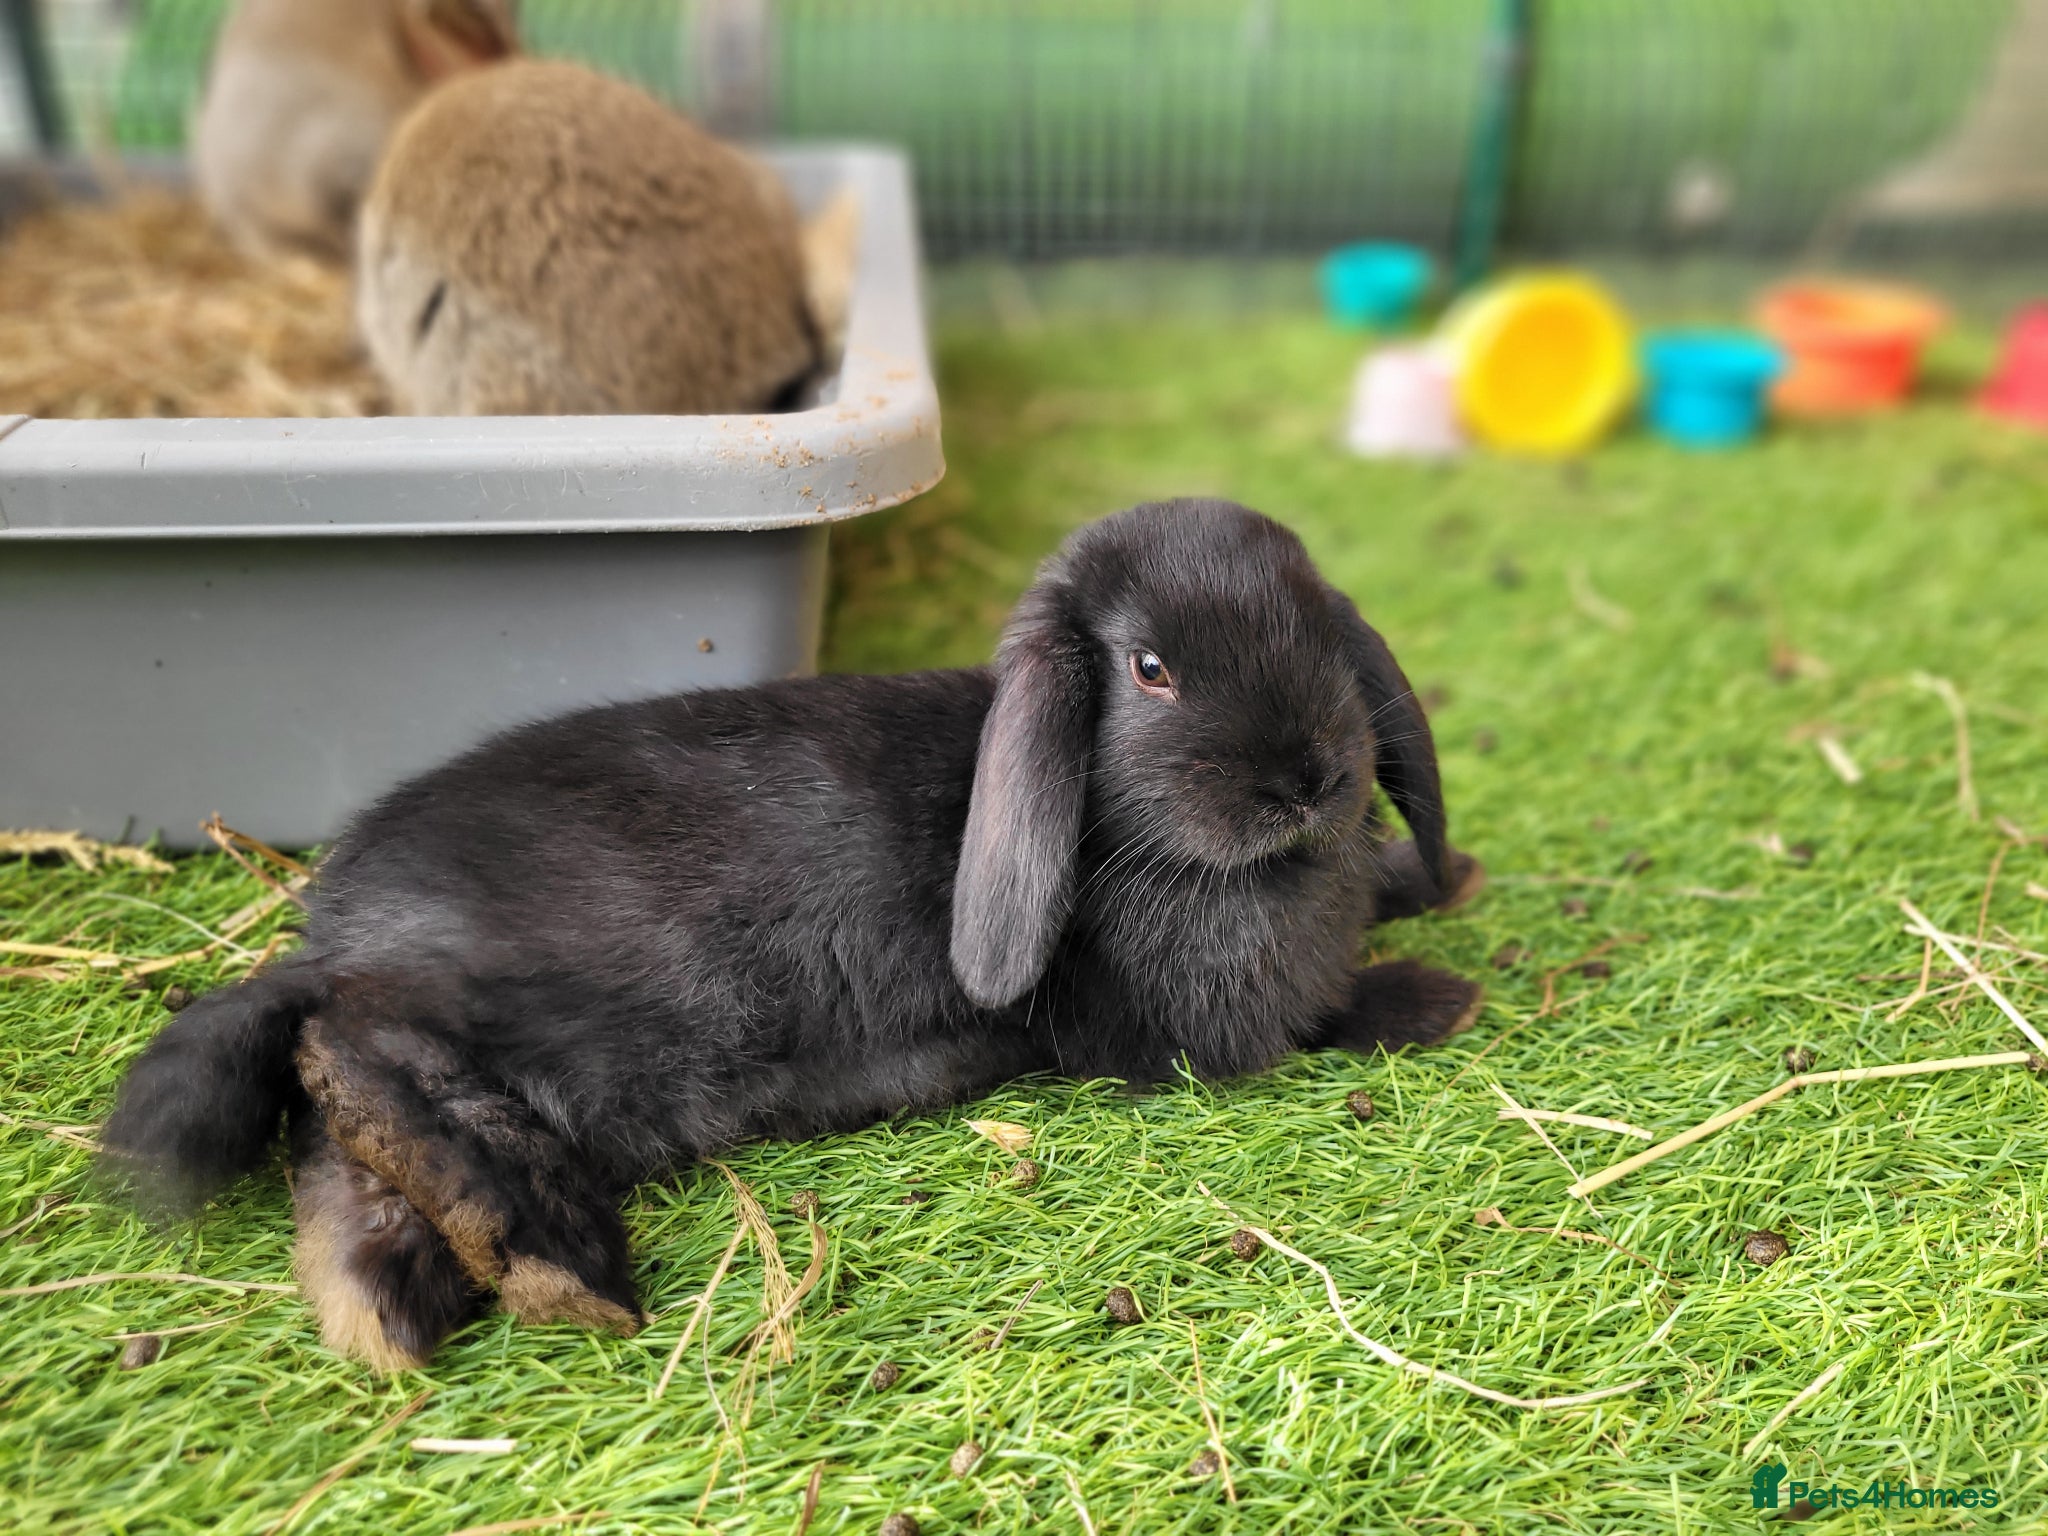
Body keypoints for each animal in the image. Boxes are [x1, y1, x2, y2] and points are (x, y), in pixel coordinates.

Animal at [100, 498, 1486, 1370]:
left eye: (1320, 635)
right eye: (1150, 671)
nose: (1308, 782)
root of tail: (336, 933)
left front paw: (1433, 876)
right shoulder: (1188, 1036)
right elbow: (1312, 1024)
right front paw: (1434, 993)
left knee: (342, 1147)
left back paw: (391, 1309)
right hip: (555, 1033)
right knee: (369, 1058)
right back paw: (561, 1271)